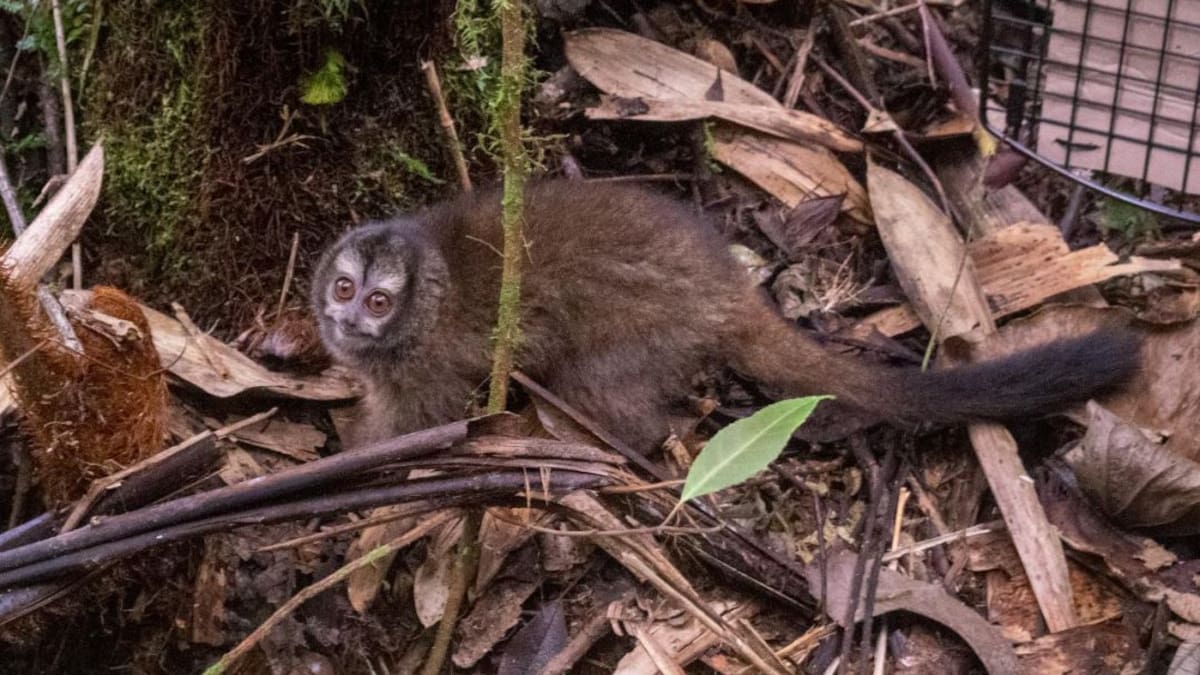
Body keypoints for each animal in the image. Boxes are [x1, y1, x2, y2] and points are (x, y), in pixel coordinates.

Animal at [311, 179, 1140, 451]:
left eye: (379, 302)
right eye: (344, 288)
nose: (348, 322)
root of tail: (725, 289)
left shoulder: (423, 369)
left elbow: (407, 431)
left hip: (652, 335)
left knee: (604, 390)